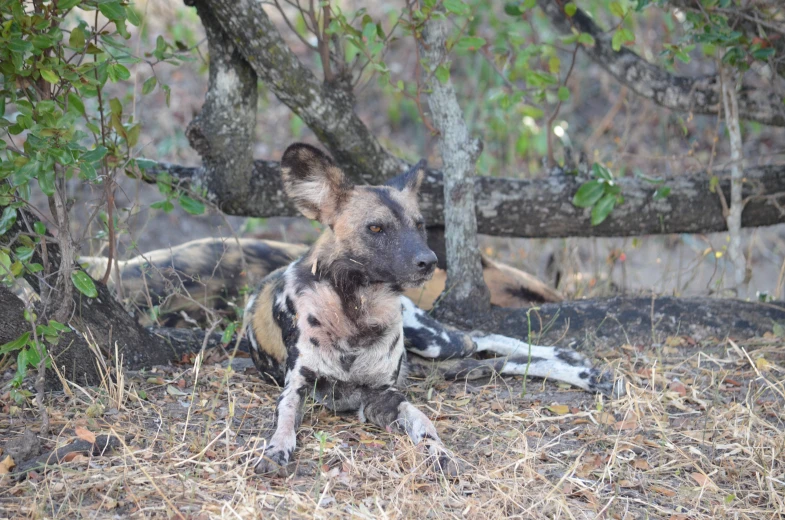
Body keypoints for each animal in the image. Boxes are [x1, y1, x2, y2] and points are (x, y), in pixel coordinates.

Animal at [245, 142, 620, 476]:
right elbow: (286, 418)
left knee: (483, 337)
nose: (430, 261)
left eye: (420, 224)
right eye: (376, 227)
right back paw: (585, 372)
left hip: (434, 342)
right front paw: (276, 449)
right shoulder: (297, 387)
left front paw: (438, 452)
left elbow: (423, 422)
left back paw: (582, 369)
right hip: (444, 364)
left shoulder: (385, 396)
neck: (356, 310)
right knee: (493, 362)